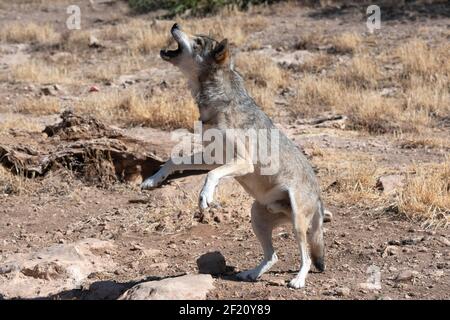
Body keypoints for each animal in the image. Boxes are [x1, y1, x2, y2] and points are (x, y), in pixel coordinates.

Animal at [143, 22, 326, 288]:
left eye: (198, 42)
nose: (175, 24)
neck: (216, 100)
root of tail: (320, 196)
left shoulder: (242, 162)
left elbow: (211, 176)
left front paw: (205, 196)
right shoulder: (214, 157)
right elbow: (174, 160)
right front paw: (152, 180)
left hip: (297, 224)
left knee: (307, 257)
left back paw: (298, 279)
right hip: (257, 216)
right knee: (273, 256)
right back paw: (251, 274)